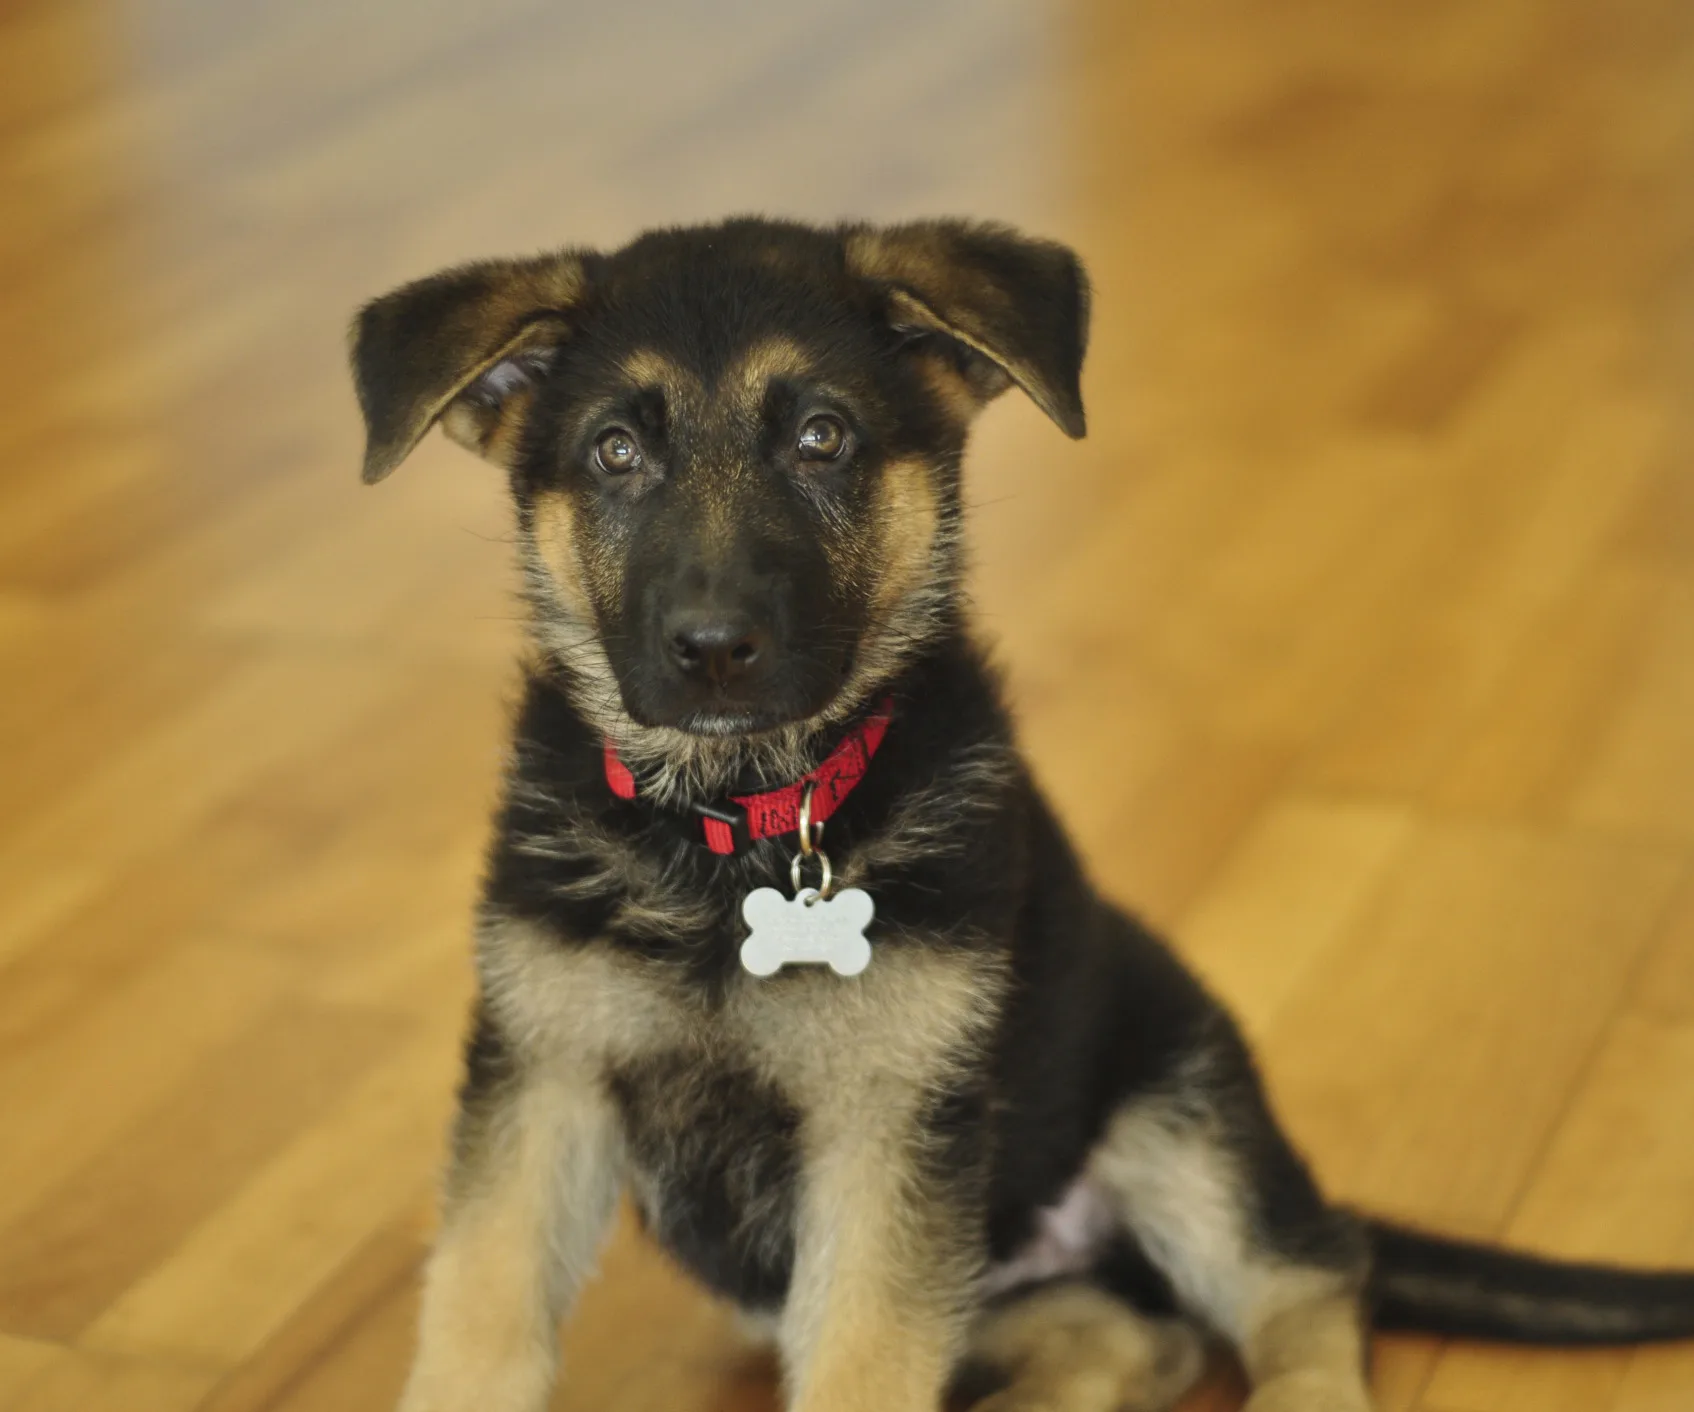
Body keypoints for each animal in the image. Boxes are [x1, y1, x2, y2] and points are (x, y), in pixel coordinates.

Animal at [347, 216, 1694, 1408]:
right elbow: (480, 1310)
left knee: (1302, 1286)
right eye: (615, 452)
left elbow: (864, 1357)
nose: (714, 650)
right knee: (1136, 1337)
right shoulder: (539, 1085)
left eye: (822, 438)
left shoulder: (887, 1133)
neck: (730, 828)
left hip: (1181, 1113)